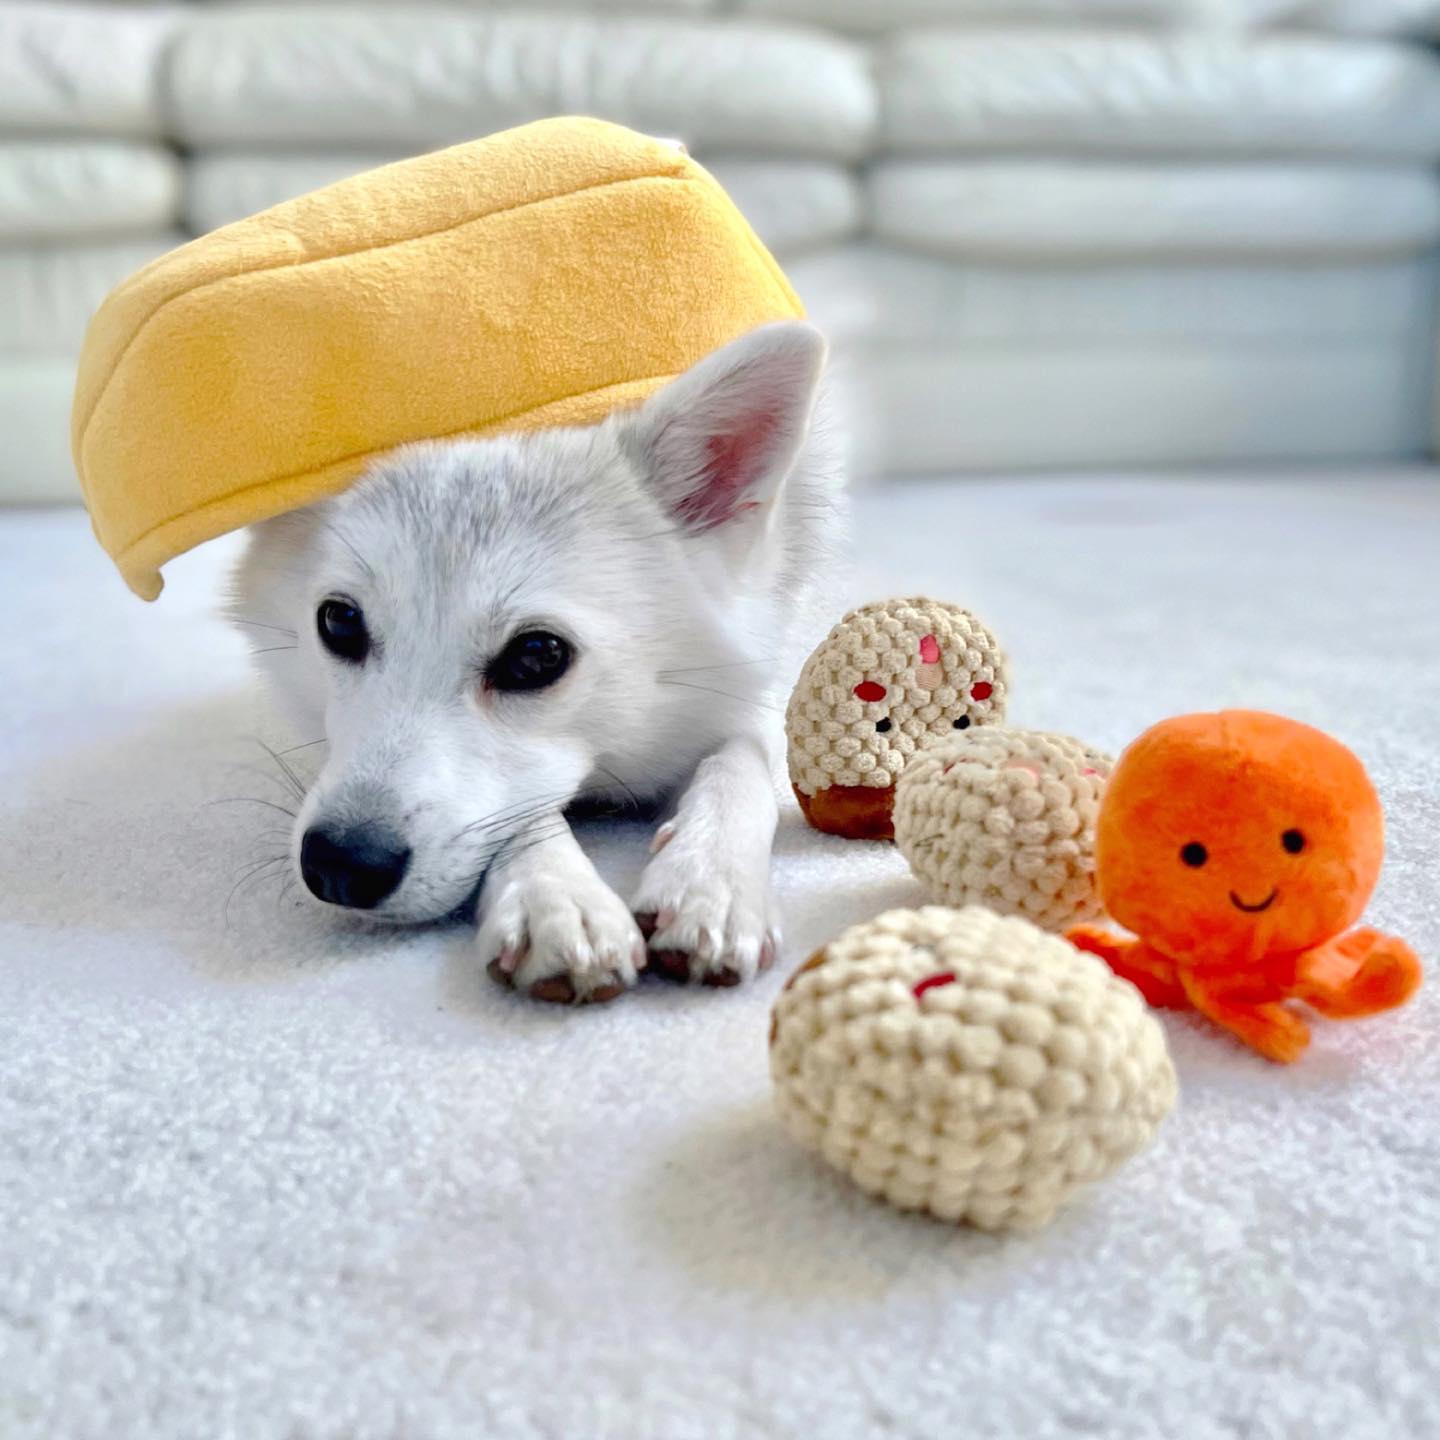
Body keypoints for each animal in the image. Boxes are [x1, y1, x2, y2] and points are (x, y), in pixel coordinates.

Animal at [227, 321, 844, 1002]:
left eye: (537, 655)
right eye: (338, 621)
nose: (341, 864)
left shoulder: (746, 689)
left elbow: (739, 767)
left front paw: (711, 882)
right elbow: (523, 813)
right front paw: (555, 898)